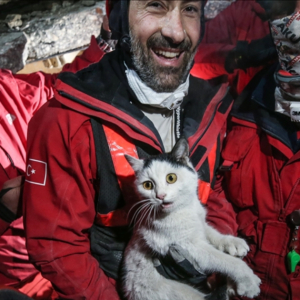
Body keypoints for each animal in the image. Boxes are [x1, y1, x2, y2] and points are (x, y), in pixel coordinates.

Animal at [123, 138, 262, 300]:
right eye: (147, 185)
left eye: (171, 178)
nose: (160, 196)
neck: (184, 209)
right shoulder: (189, 247)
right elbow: (224, 260)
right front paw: (248, 281)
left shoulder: (200, 223)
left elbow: (213, 234)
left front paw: (233, 243)